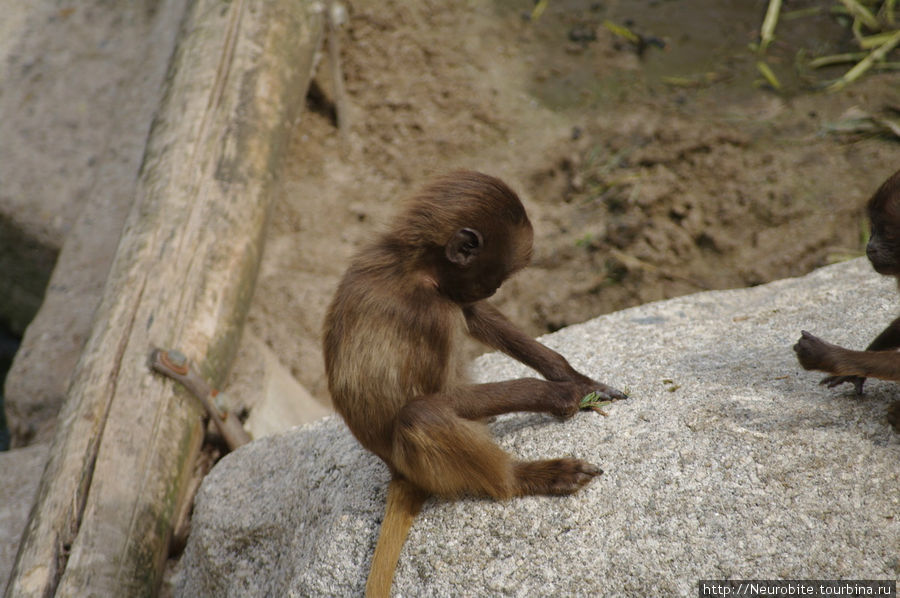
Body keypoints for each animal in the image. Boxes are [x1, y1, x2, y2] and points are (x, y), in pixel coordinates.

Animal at [322, 171, 624, 596]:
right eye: (496, 277)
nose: (494, 289)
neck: (410, 265)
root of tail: (397, 470)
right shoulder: (431, 312)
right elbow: (439, 393)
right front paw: (559, 393)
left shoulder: (449, 292)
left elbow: (474, 313)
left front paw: (576, 377)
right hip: (419, 461)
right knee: (421, 415)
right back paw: (523, 478)